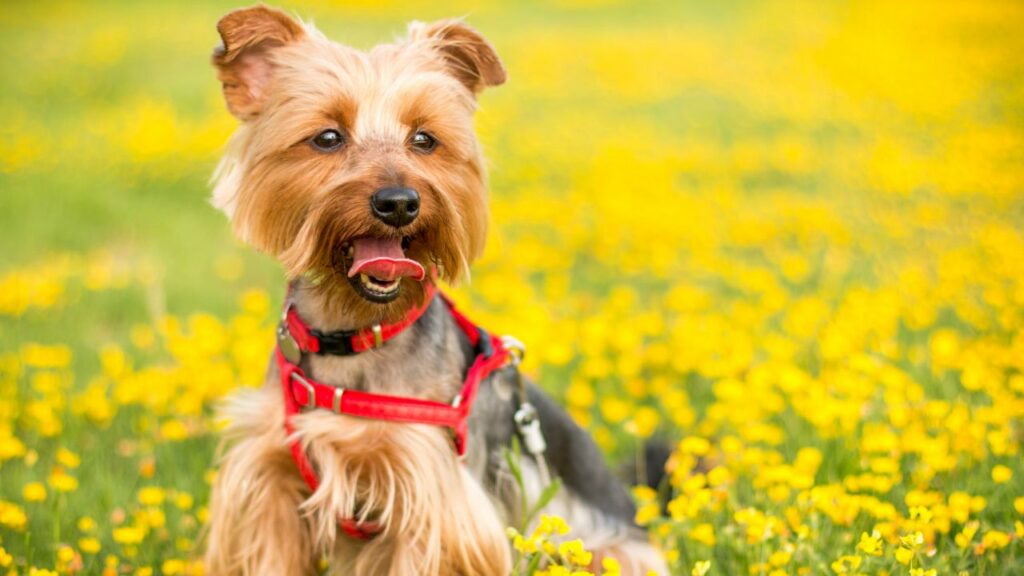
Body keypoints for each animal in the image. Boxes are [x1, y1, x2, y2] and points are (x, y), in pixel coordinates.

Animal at [203, 5, 667, 573]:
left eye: (424, 139)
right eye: (328, 137)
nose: (399, 202)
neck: (355, 334)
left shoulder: (433, 495)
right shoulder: (268, 480)